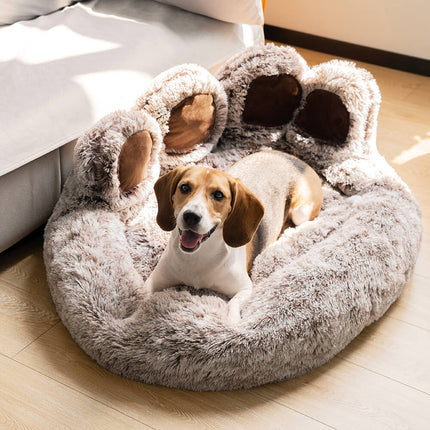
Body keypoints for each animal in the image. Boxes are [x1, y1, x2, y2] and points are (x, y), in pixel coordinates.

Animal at [145, 151, 322, 322]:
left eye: (218, 195)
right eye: (184, 187)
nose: (191, 216)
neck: (199, 256)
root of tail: (295, 159)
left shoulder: (245, 288)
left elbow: (233, 304)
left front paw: (232, 323)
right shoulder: (155, 278)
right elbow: (143, 296)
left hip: (301, 213)